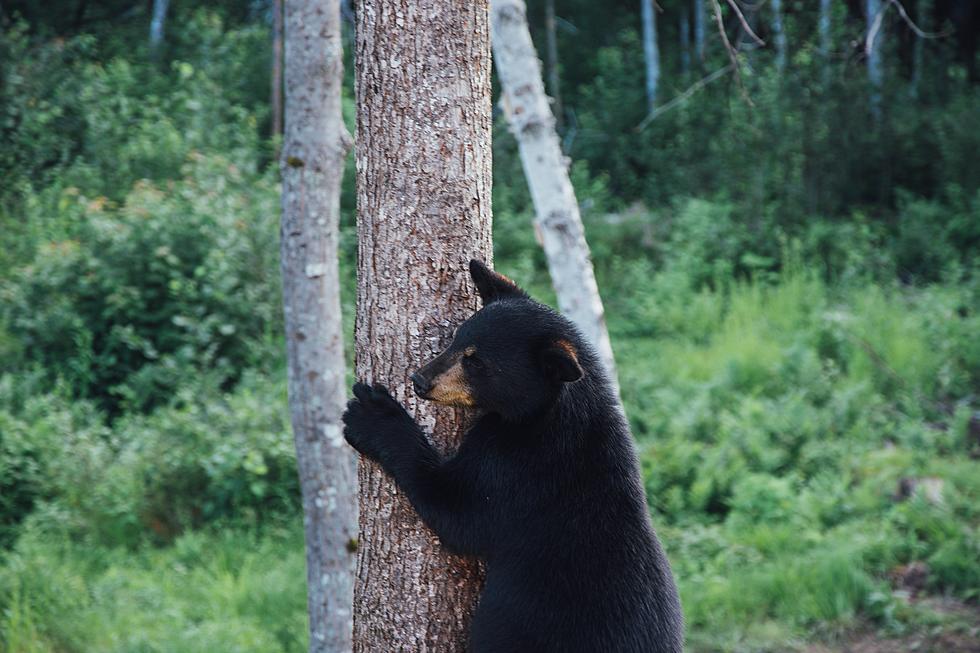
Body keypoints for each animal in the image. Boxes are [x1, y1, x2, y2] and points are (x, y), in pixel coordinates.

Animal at [342, 260, 680, 652]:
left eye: (477, 363)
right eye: (456, 338)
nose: (419, 380)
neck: (545, 413)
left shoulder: (522, 470)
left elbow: (459, 511)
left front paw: (372, 415)